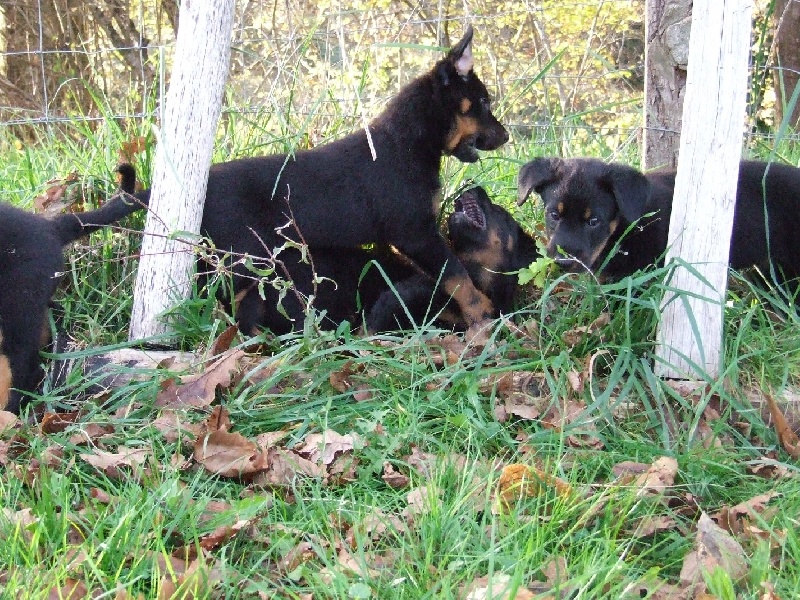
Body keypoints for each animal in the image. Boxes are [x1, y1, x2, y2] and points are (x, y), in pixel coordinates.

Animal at [130, 27, 506, 338]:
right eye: (483, 103)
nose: (505, 137)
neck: (408, 141)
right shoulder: (416, 233)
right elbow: (456, 273)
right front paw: (479, 310)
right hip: (244, 258)